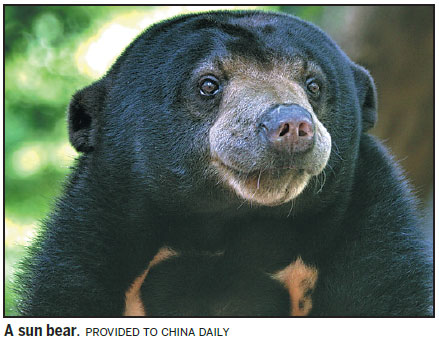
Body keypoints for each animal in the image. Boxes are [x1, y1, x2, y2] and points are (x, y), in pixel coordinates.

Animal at [18, 10, 434, 316]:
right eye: (208, 84)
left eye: (314, 84)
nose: (291, 125)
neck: (228, 230)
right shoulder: (92, 236)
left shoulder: (369, 229)